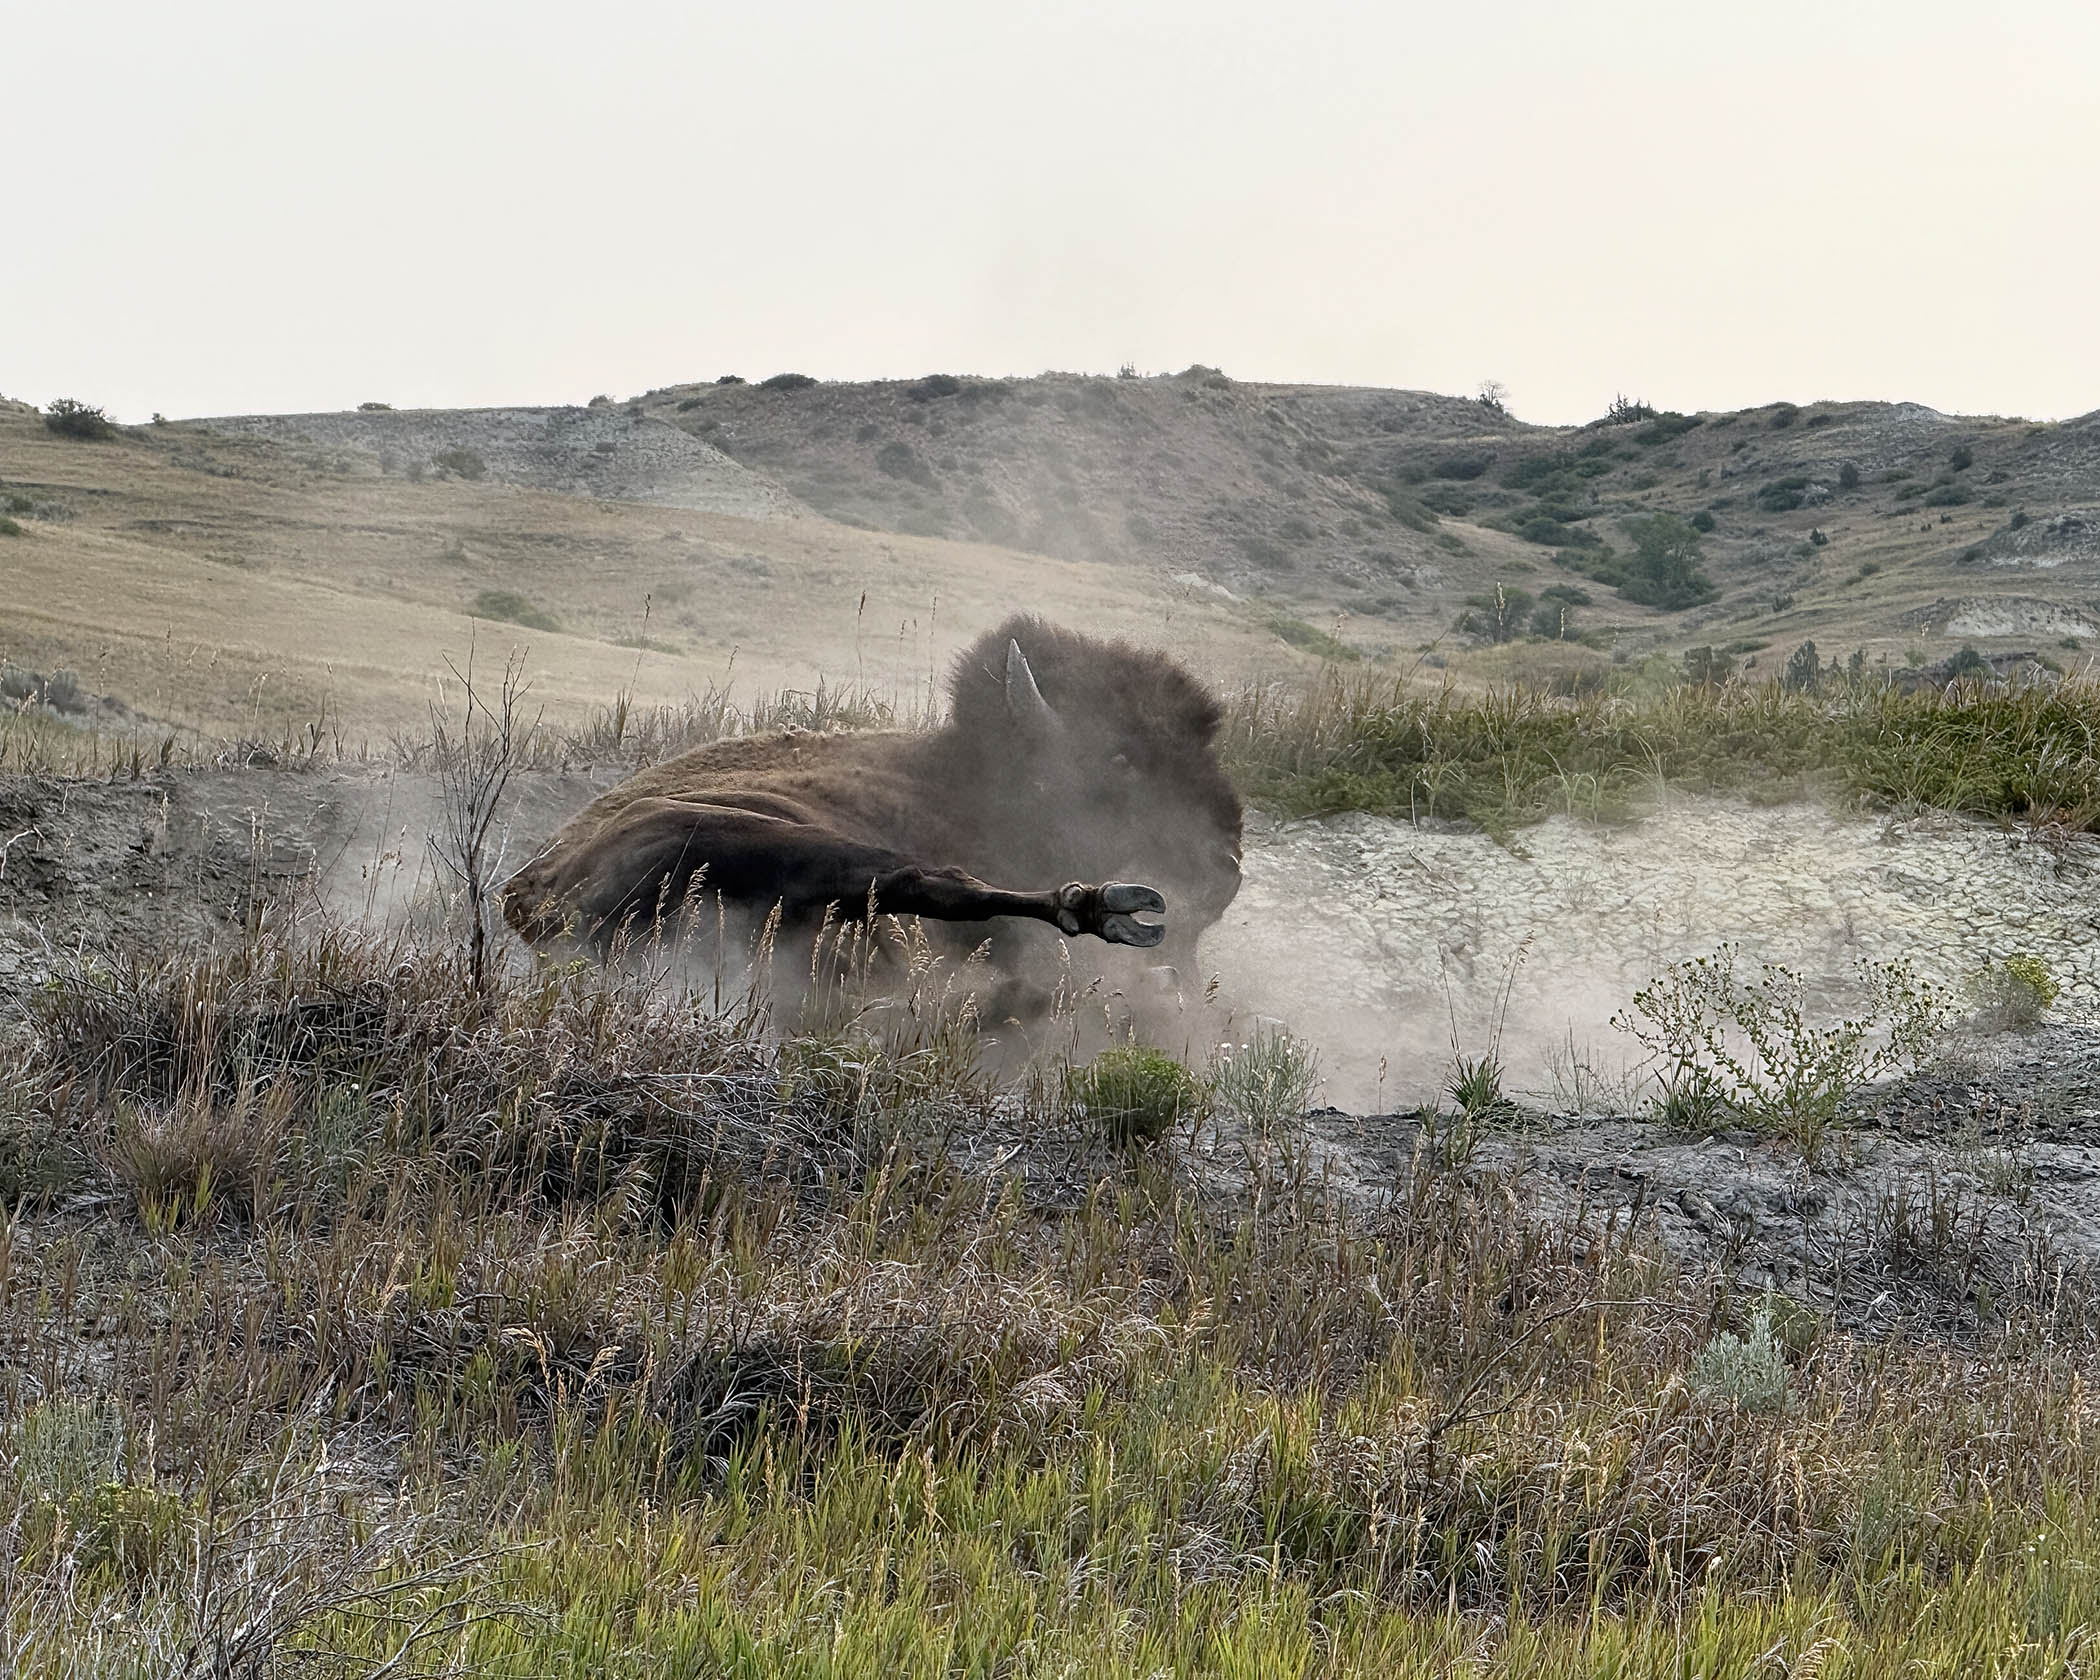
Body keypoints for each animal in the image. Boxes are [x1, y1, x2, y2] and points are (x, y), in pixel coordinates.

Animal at [500, 616, 1244, 987]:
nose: (1228, 864)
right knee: (932, 884)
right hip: (745, 837)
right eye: (1122, 760)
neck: (967, 781)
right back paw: (1109, 911)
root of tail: (526, 898)